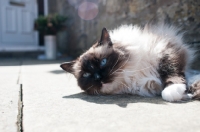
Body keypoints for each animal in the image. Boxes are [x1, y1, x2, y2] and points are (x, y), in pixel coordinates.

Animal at [59, 24, 200, 101]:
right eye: (86, 75)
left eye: (103, 61)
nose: (99, 78)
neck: (130, 75)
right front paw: (186, 93)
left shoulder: (167, 52)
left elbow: (172, 73)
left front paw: (172, 92)